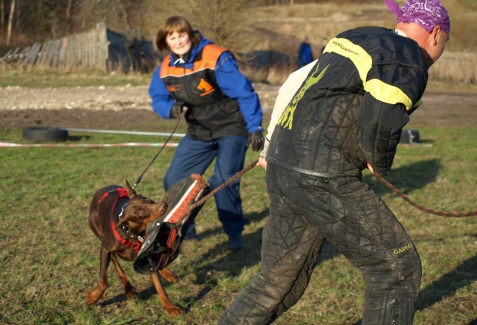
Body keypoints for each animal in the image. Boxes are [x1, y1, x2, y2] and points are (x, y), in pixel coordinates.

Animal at [84, 178, 183, 316]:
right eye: (139, 213)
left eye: (146, 199)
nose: (163, 206)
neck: (133, 233)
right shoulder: (105, 249)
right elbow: (103, 280)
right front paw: (93, 297)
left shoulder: (146, 252)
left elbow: (159, 286)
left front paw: (170, 307)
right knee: (117, 266)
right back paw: (129, 289)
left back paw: (167, 273)